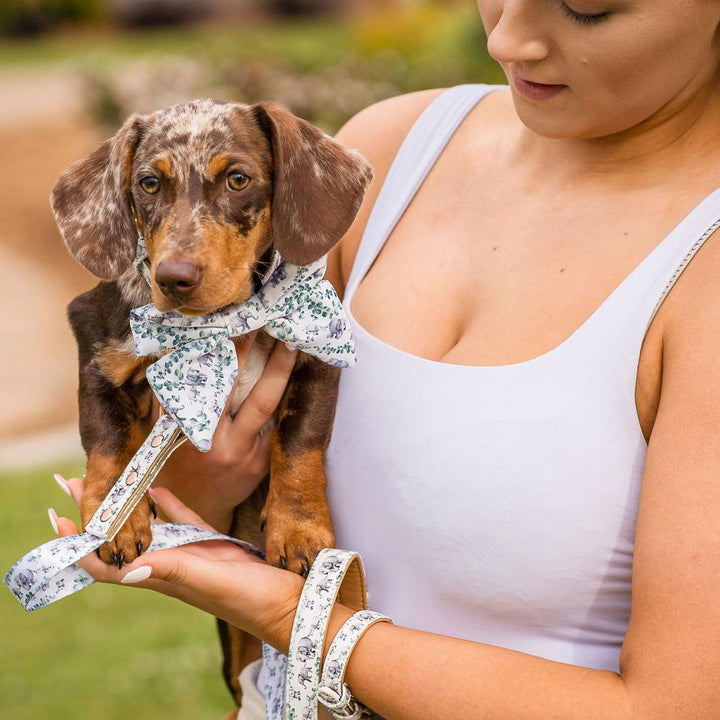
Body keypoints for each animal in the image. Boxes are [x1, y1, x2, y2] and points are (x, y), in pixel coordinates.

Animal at [50, 97, 374, 708]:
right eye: (149, 183)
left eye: (238, 179)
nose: (173, 278)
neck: (220, 323)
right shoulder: (98, 352)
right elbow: (107, 440)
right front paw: (115, 515)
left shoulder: (317, 355)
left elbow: (300, 443)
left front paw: (300, 528)